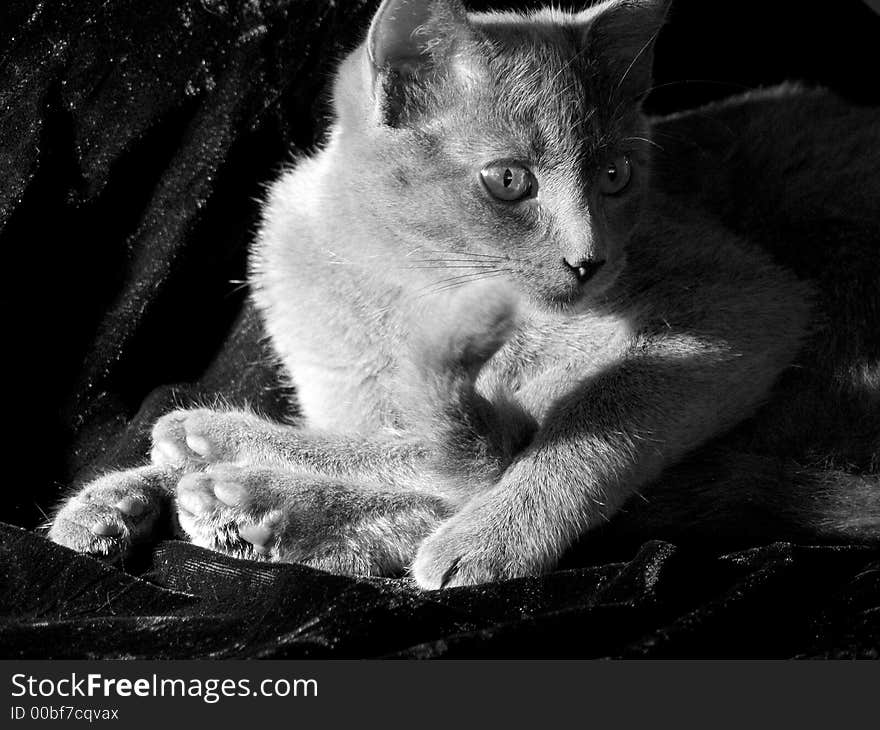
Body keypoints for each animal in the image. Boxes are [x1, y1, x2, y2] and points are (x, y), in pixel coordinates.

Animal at [49, 0, 880, 584]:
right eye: (508, 180)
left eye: (616, 175)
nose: (591, 259)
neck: (405, 297)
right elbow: (416, 440)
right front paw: (114, 497)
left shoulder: (742, 300)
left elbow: (578, 427)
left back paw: (254, 500)